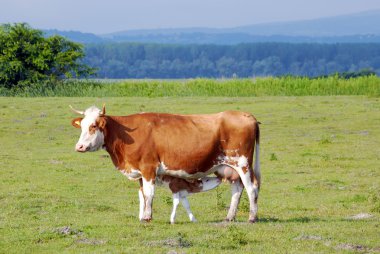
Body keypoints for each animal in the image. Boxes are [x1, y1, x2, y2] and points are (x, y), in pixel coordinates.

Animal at [70, 104, 262, 223]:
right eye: (82, 126)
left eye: (94, 126)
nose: (79, 147)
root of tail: (246, 115)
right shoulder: (140, 172)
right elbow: (142, 195)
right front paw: (143, 216)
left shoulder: (148, 168)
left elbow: (149, 193)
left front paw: (147, 217)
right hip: (229, 167)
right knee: (236, 189)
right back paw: (230, 217)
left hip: (243, 163)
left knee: (251, 188)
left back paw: (252, 217)